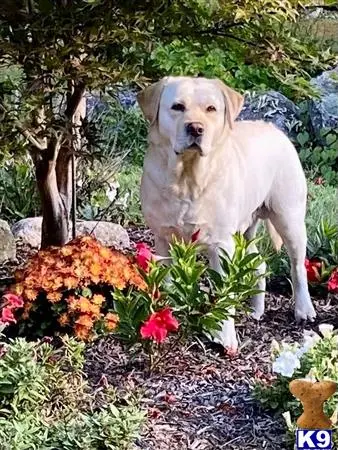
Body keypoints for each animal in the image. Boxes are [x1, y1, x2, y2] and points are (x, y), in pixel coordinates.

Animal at [136, 76, 316, 352]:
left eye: (211, 109)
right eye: (177, 107)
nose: (196, 128)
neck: (188, 179)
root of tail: (274, 129)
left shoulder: (221, 244)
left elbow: (224, 296)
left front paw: (225, 337)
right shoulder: (164, 239)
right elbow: (166, 283)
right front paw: (166, 317)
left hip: (289, 218)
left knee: (298, 266)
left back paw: (304, 309)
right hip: (245, 228)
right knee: (259, 261)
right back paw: (256, 310)